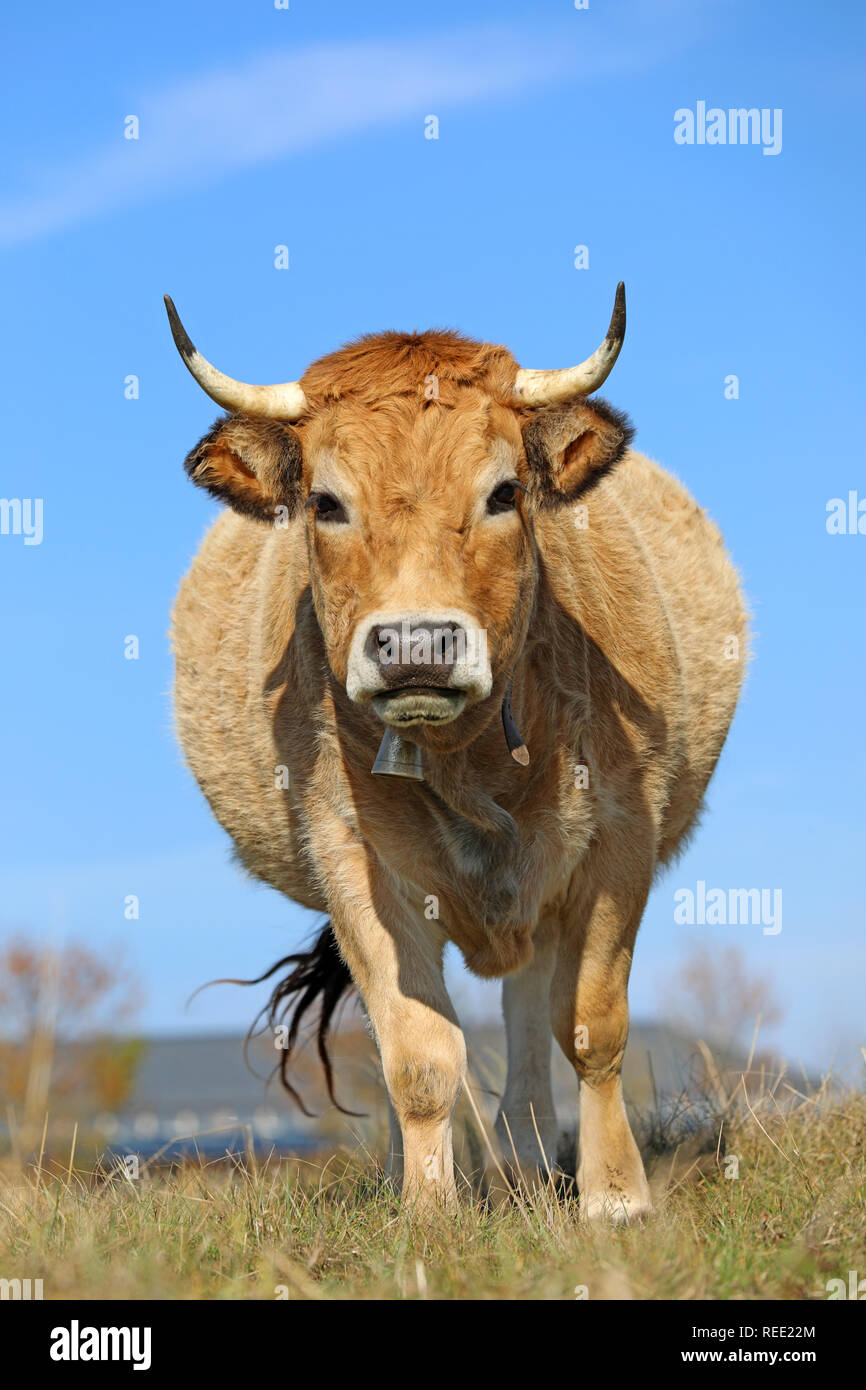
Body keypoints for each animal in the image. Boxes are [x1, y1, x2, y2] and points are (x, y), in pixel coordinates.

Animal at [166, 287, 750, 1223]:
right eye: (326, 502)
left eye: (505, 491)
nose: (416, 645)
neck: (473, 762)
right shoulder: (356, 866)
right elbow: (418, 1055)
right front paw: (428, 1212)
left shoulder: (620, 844)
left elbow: (592, 1025)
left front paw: (615, 1198)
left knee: (530, 1010)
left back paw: (530, 1163)